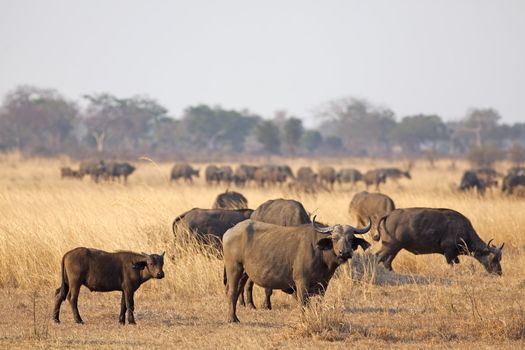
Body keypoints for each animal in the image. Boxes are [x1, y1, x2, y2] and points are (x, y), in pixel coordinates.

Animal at [223, 219, 370, 322]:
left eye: (351, 238)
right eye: (334, 238)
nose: (344, 253)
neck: (320, 252)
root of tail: (229, 231)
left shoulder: (323, 284)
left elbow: (318, 303)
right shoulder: (301, 282)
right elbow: (303, 303)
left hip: (244, 273)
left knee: (239, 290)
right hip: (234, 268)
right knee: (232, 292)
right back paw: (232, 319)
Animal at [372, 208, 504, 274]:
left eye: (500, 259)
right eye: (493, 259)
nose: (499, 272)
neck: (463, 229)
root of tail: (388, 215)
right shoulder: (449, 252)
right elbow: (451, 265)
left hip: (395, 248)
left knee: (387, 261)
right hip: (390, 246)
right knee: (378, 257)